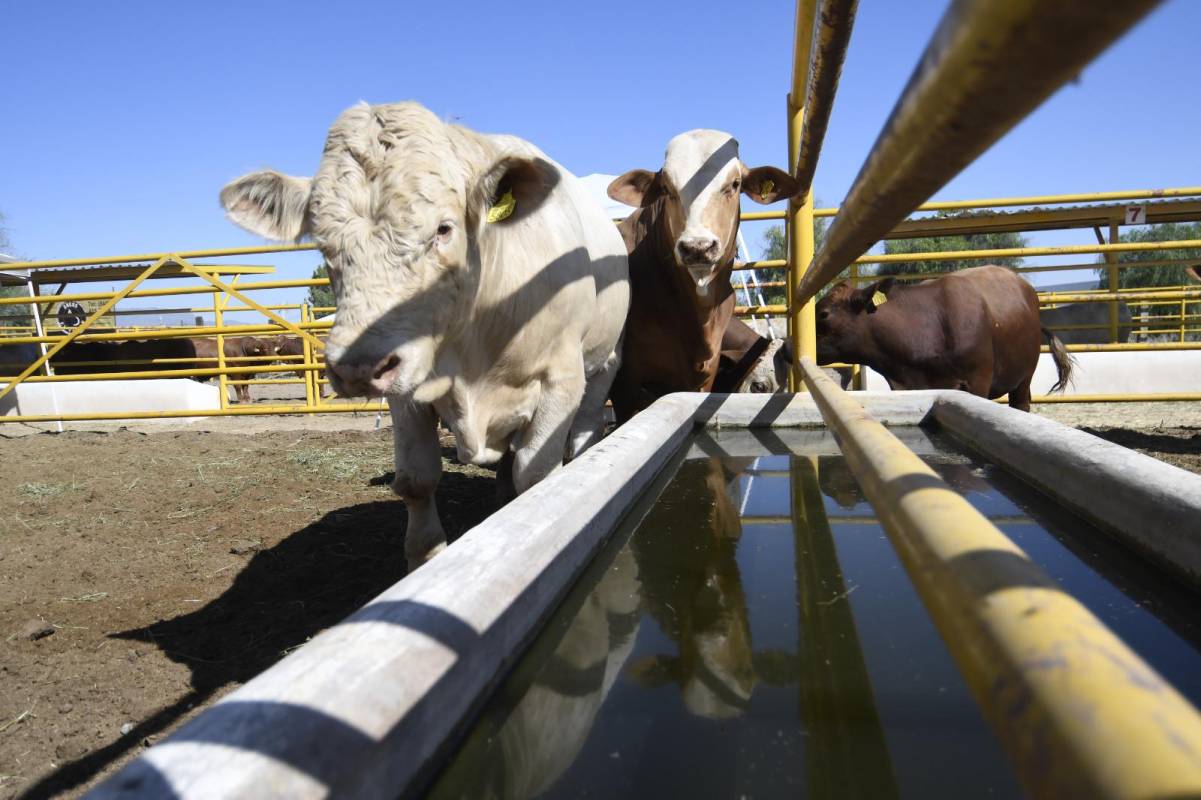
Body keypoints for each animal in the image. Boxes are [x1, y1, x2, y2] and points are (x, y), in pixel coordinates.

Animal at [219, 101, 629, 566]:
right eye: (322, 243)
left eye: (443, 229)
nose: (357, 366)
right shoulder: (406, 389)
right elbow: (417, 479)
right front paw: (426, 554)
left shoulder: (561, 379)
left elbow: (537, 473)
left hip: (604, 365)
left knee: (585, 432)